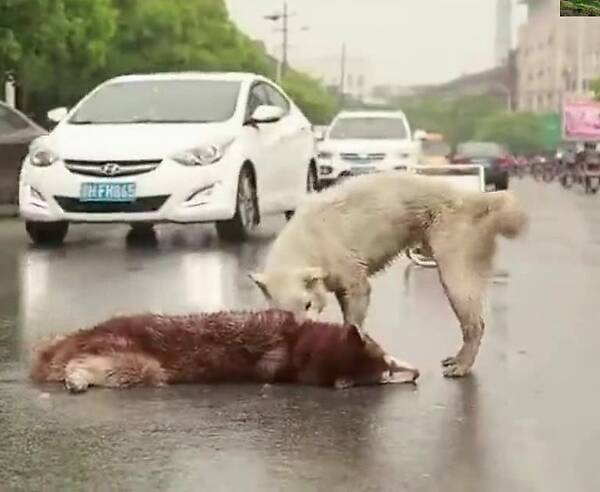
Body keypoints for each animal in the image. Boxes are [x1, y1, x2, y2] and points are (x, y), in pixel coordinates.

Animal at [251, 171, 528, 374]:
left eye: (308, 304)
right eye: (285, 313)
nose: (303, 337)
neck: (307, 242)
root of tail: (476, 198)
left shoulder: (354, 280)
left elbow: (353, 319)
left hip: (453, 268)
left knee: (475, 324)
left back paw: (461, 365)